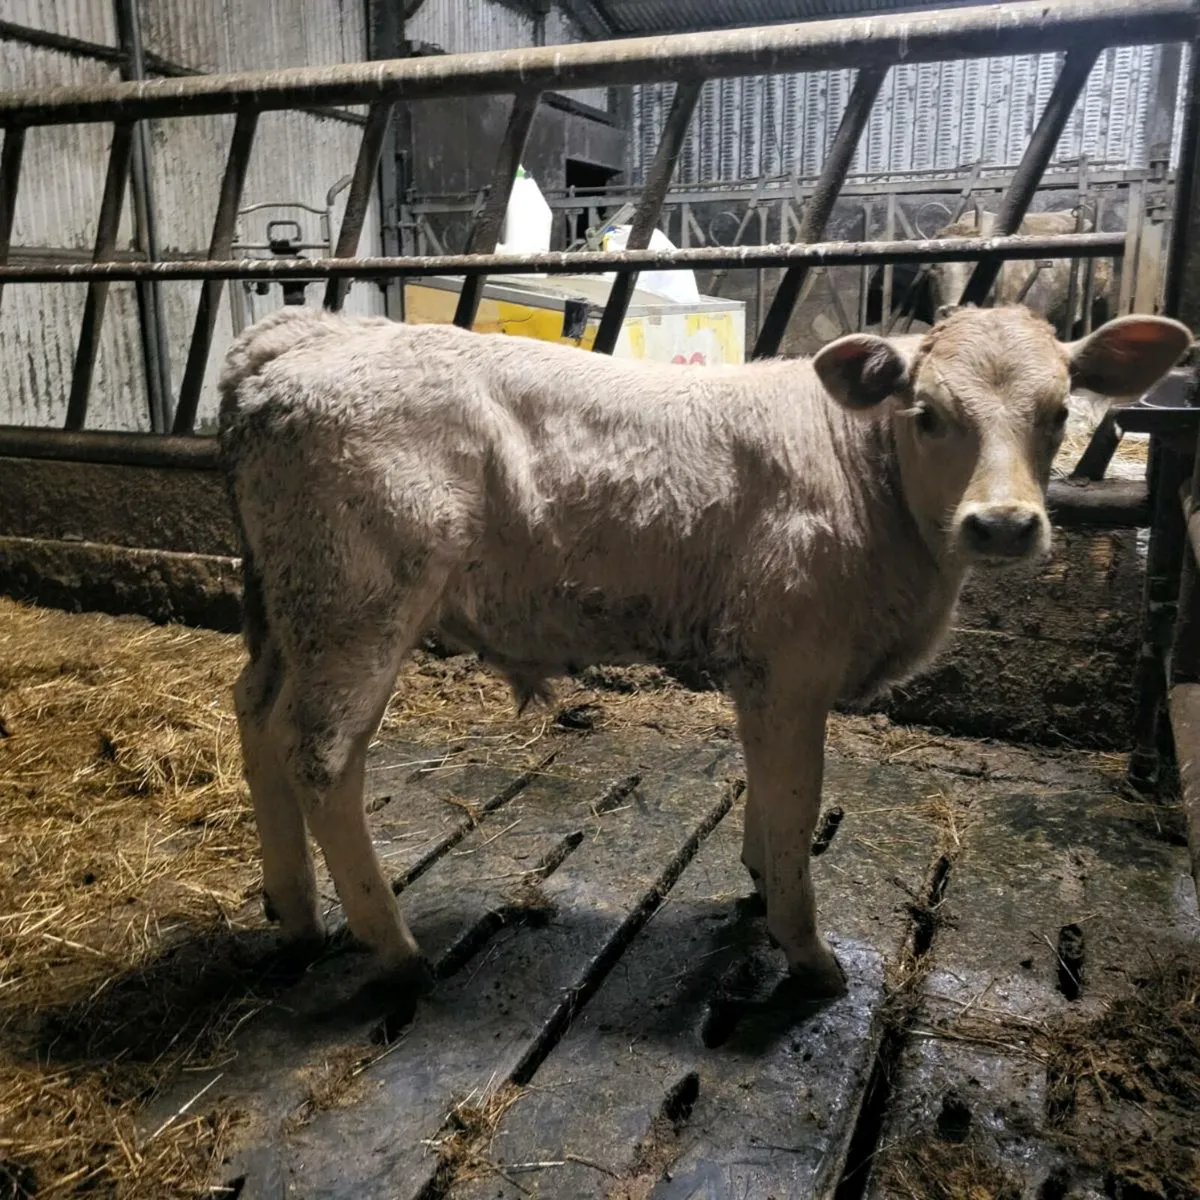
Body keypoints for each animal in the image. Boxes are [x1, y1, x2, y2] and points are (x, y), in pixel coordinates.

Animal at [217, 303, 1189, 1006]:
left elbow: (766, 790)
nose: (1002, 525)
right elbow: (797, 804)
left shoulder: (763, 672)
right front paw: (807, 950)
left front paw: (759, 884)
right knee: (321, 755)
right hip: (358, 605)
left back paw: (297, 917)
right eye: (927, 414)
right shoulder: (793, 666)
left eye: (1058, 413)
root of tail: (303, 336)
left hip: (290, 607)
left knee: (256, 718)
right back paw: (395, 948)